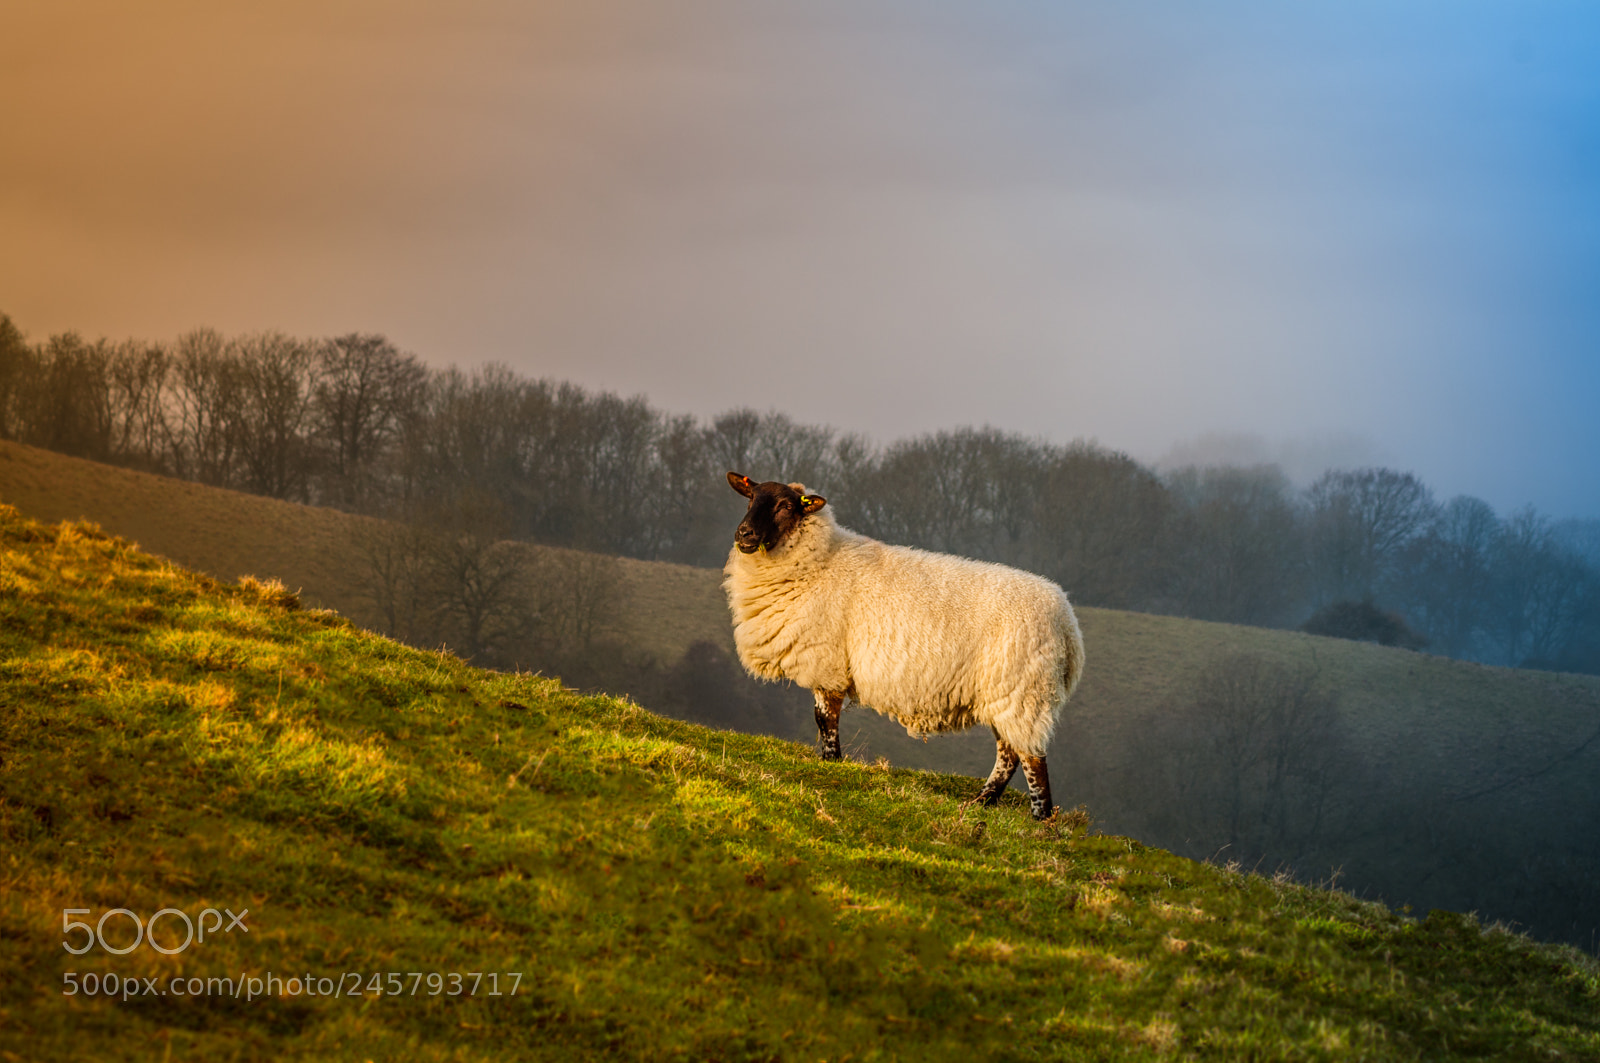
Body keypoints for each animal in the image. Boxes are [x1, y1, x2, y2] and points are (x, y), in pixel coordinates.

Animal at [722, 473, 1084, 820]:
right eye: (750, 498)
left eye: (785, 506)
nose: (744, 534)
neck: (820, 560)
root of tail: (1067, 624)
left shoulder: (827, 661)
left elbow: (824, 719)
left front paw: (831, 762)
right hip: (1005, 694)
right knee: (1009, 753)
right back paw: (981, 803)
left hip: (1024, 691)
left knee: (1032, 758)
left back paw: (1039, 817)